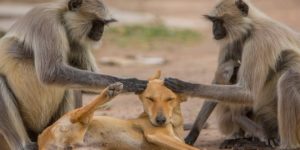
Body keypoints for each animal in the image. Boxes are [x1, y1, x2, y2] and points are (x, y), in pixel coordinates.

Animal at [0, 0, 146, 149]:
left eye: (103, 24)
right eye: (97, 23)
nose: (101, 32)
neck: (62, 18)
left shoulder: (76, 40)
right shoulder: (47, 22)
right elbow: (51, 73)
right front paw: (130, 83)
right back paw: (24, 144)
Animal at [38, 72, 202, 150]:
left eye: (170, 99)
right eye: (150, 99)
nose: (160, 120)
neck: (174, 123)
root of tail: (41, 138)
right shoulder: (156, 135)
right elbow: (194, 149)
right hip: (77, 119)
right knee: (79, 115)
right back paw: (110, 91)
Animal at [164, 0, 300, 149]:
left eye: (219, 21)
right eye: (213, 21)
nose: (214, 29)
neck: (250, 28)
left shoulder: (260, 40)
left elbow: (248, 92)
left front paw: (186, 87)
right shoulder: (233, 40)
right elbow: (218, 80)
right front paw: (193, 133)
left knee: (288, 75)